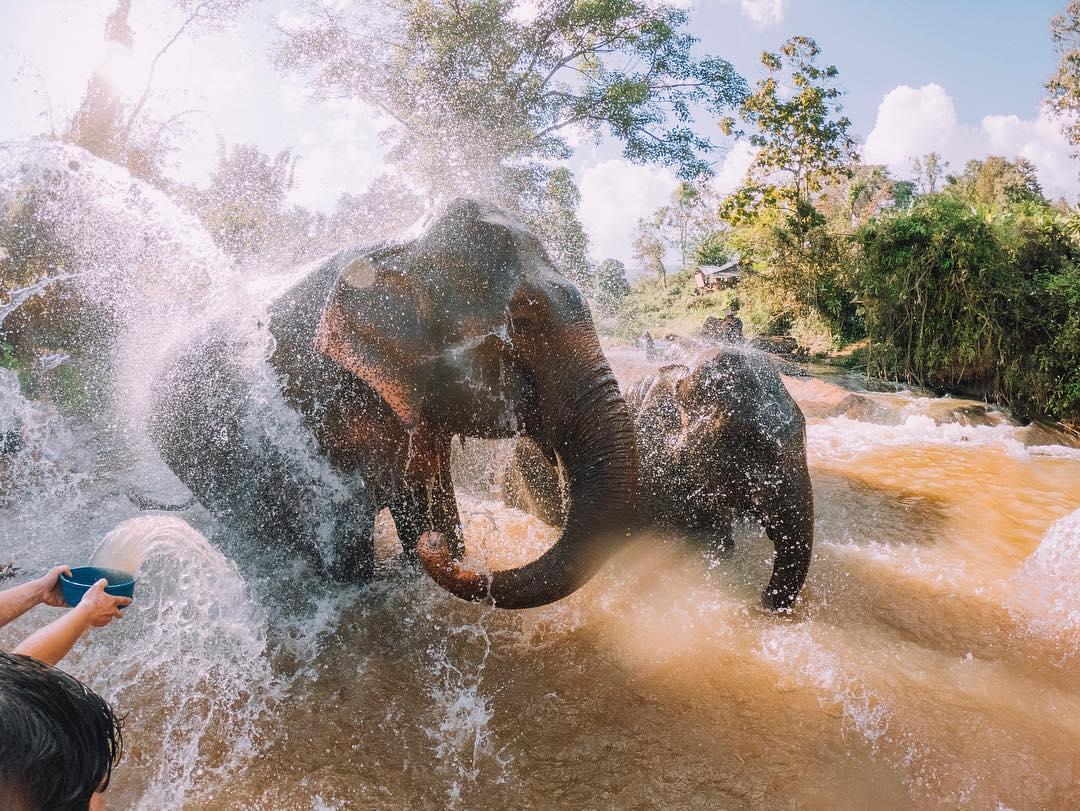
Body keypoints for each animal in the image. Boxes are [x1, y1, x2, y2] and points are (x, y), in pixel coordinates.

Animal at [148, 198, 637, 609]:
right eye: (523, 322)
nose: (431, 550)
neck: (401, 250)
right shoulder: (306, 410)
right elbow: (346, 551)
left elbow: (428, 503)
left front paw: (431, 542)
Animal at [501, 345, 813, 611]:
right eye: (745, 440)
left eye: (803, 428)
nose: (762, 601)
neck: (681, 370)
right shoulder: (642, 467)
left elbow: (719, 540)